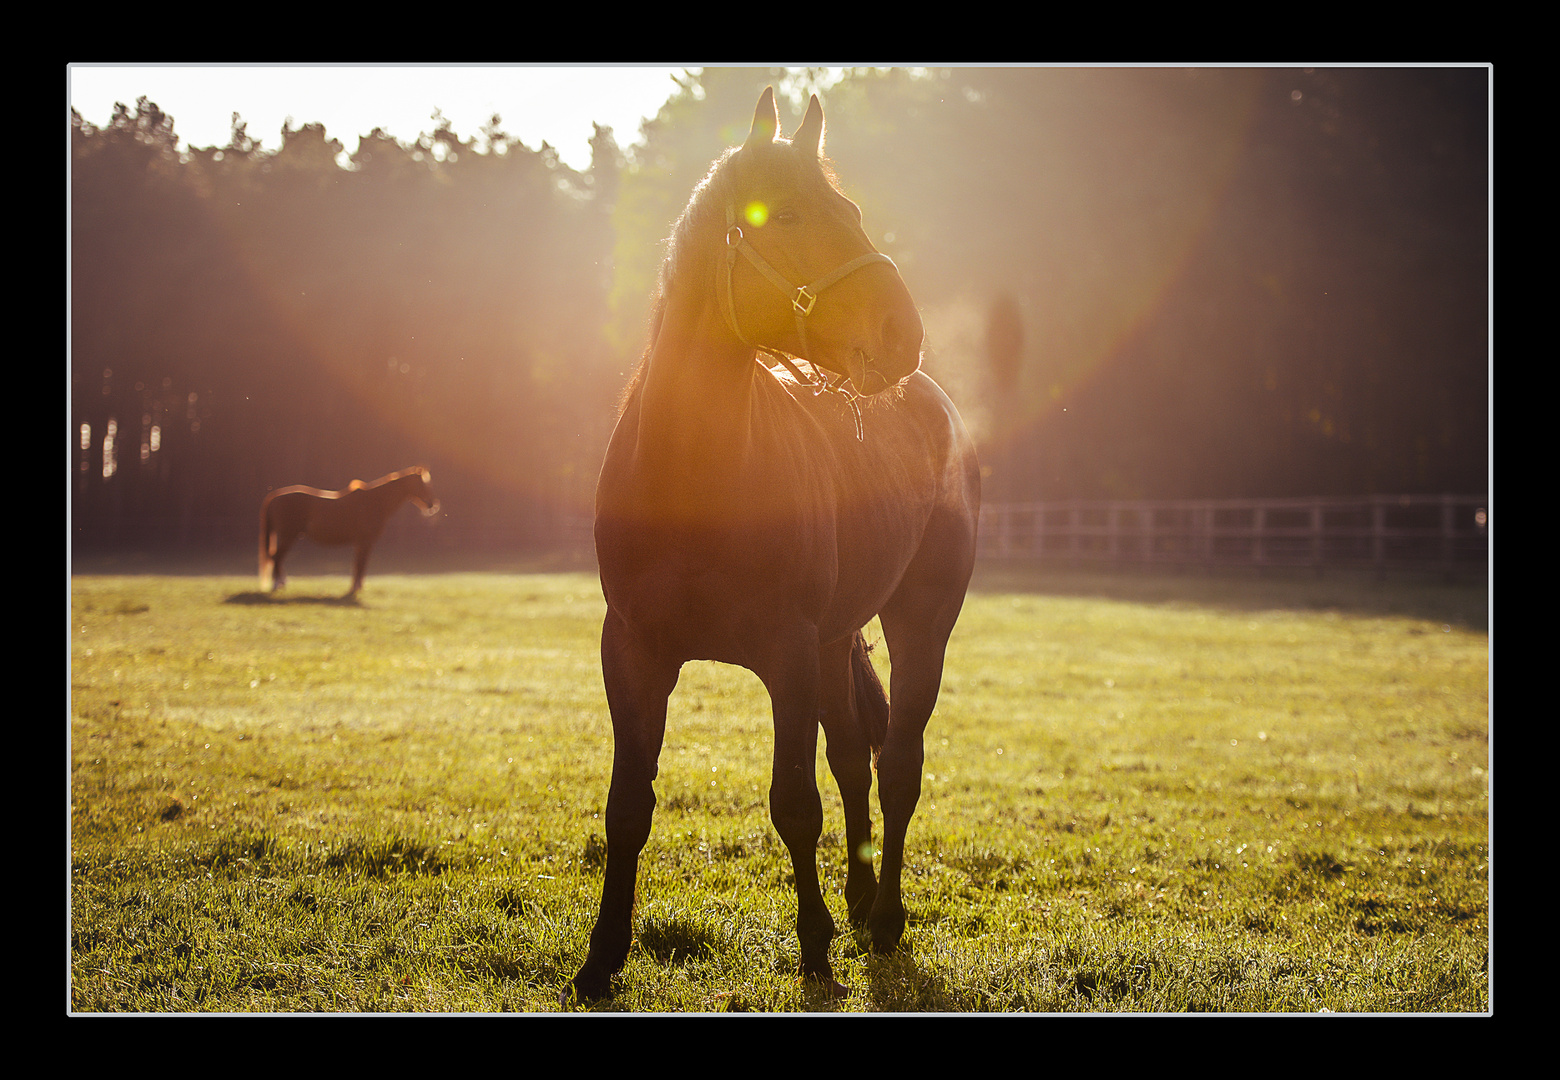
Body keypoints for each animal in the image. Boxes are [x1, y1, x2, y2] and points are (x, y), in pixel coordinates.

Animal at [257, 465, 439, 596]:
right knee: (276, 557)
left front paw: (356, 588)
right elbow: (360, 565)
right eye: (424, 484)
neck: (375, 502)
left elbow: (358, 565)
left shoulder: (360, 543)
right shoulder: (365, 542)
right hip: (288, 535)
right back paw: (278, 585)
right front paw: (355, 589)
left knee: (276, 557)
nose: (433, 505)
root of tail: (275, 497)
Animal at [574, 88, 979, 998]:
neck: (694, 474)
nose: (901, 333)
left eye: (851, 212)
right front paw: (600, 958)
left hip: (919, 622)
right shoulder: (634, 650)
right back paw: (862, 901)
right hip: (835, 641)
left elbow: (794, 803)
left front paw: (816, 948)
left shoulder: (785, 652)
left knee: (897, 768)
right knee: (856, 757)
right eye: (787, 215)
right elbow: (629, 805)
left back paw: (884, 919)